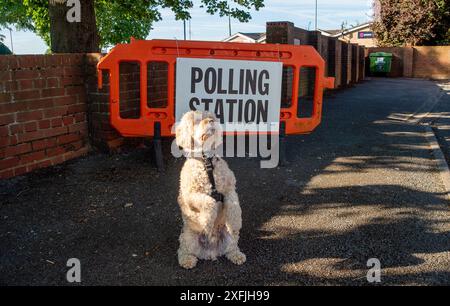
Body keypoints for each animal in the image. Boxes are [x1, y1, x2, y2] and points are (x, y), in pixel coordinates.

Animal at [176, 111, 246, 268]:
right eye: (196, 121)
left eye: (211, 116)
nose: (211, 121)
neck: (207, 162)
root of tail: (211, 252)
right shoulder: (188, 195)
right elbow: (208, 202)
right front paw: (207, 221)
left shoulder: (230, 187)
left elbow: (234, 205)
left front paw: (236, 221)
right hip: (187, 236)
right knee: (183, 250)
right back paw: (187, 260)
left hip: (229, 236)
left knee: (231, 247)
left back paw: (236, 255)